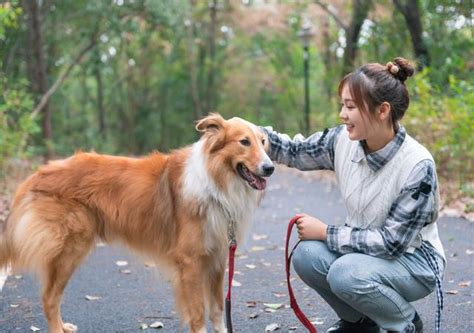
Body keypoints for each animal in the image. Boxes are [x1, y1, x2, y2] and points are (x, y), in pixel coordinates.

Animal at [0, 113, 274, 330]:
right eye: (244, 142)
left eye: (263, 142)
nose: (270, 168)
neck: (216, 181)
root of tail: (38, 173)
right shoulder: (191, 262)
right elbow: (198, 314)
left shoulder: (217, 259)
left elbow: (218, 310)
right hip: (70, 249)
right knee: (49, 298)